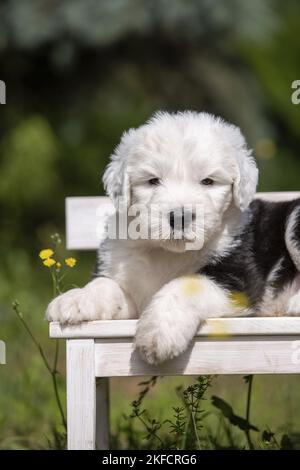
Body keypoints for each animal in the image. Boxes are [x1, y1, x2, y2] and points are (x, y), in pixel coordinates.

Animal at [46, 112, 300, 366]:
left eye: (208, 181)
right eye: (153, 180)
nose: (179, 217)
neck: (167, 252)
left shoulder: (239, 280)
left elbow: (186, 283)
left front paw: (158, 333)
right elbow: (105, 285)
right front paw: (75, 299)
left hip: (294, 220)